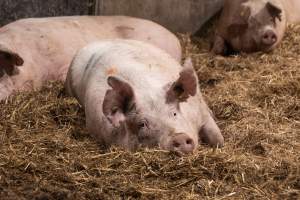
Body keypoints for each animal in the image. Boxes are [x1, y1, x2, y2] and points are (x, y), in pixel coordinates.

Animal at [65, 39, 225, 154]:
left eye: (174, 113)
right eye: (142, 124)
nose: (179, 137)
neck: (147, 91)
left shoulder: (199, 110)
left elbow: (216, 136)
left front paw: (220, 145)